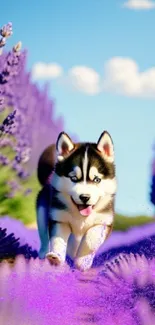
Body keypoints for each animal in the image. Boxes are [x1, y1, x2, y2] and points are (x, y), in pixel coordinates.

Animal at [36, 130, 116, 270]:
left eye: (97, 179)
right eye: (73, 178)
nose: (84, 197)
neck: (81, 216)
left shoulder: (104, 221)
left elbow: (91, 239)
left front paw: (82, 262)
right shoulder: (59, 219)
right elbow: (58, 239)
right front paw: (56, 258)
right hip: (42, 210)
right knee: (44, 235)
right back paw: (43, 254)